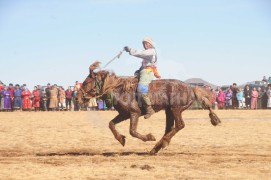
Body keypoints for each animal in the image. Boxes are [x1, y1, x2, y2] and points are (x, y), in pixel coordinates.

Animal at [77, 62, 221, 155]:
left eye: (86, 82)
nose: (78, 98)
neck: (120, 89)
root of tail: (191, 88)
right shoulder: (124, 114)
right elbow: (111, 124)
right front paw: (121, 139)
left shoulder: (134, 113)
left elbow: (132, 131)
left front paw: (149, 137)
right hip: (169, 111)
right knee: (169, 128)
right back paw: (156, 148)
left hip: (176, 109)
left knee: (180, 125)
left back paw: (161, 143)